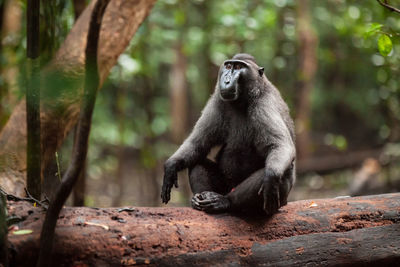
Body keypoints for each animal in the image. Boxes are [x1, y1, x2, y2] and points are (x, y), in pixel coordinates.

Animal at [161, 54, 296, 216]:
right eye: (228, 66)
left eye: (238, 67)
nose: (226, 79)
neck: (242, 101)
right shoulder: (217, 101)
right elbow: (197, 144)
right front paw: (171, 166)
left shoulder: (264, 104)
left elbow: (279, 147)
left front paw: (272, 177)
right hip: (224, 186)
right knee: (197, 161)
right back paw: (201, 198)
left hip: (280, 200)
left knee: (272, 176)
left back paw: (225, 202)